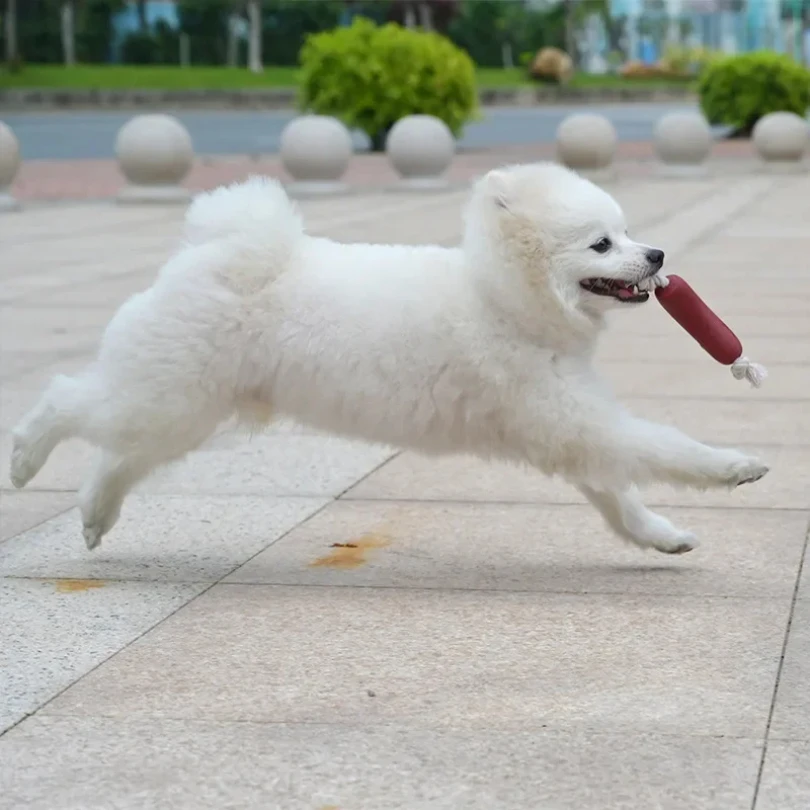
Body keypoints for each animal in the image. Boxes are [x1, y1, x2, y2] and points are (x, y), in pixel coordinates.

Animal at [14, 161, 772, 552]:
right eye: (601, 243)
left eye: (627, 231)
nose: (659, 255)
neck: (499, 297)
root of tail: (219, 252)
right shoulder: (573, 419)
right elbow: (664, 448)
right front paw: (734, 467)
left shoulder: (569, 427)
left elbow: (619, 499)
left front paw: (661, 536)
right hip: (168, 395)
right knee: (65, 400)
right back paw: (25, 457)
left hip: (183, 408)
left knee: (119, 454)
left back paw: (93, 517)